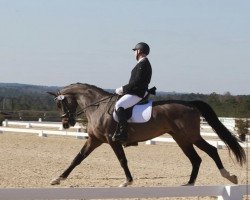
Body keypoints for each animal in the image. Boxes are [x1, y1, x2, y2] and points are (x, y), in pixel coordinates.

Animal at [48, 82, 246, 187]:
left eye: (60, 104)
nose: (66, 123)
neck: (98, 107)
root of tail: (190, 104)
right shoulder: (95, 140)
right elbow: (77, 158)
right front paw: (58, 178)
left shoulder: (113, 141)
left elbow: (122, 160)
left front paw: (127, 181)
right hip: (181, 138)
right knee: (196, 158)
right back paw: (189, 183)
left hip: (190, 136)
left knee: (211, 150)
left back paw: (228, 176)